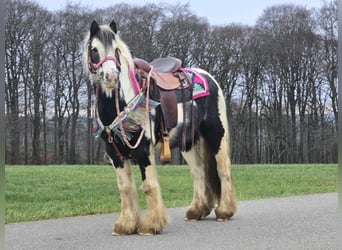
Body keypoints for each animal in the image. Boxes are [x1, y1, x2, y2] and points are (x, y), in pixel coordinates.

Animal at [83, 20, 238, 236]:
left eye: (116, 50)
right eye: (94, 50)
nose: (111, 77)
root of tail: (208, 77)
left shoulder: (143, 150)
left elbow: (148, 186)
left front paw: (151, 225)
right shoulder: (115, 153)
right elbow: (125, 187)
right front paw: (125, 225)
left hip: (216, 133)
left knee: (223, 168)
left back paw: (224, 211)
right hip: (187, 142)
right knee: (199, 171)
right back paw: (196, 211)